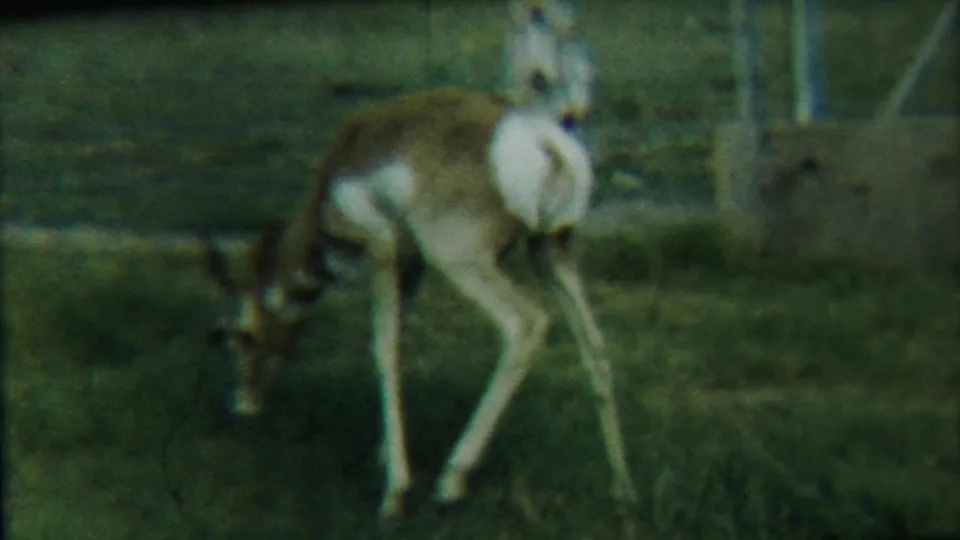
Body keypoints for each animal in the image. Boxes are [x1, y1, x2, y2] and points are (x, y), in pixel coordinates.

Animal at [198, 88, 639, 520]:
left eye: (237, 335)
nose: (241, 407)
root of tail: (542, 140)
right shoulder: (411, 268)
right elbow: (398, 337)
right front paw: (383, 455)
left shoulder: (382, 252)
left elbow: (385, 351)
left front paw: (394, 492)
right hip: (551, 250)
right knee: (594, 345)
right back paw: (621, 490)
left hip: (463, 260)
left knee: (526, 326)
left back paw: (451, 481)